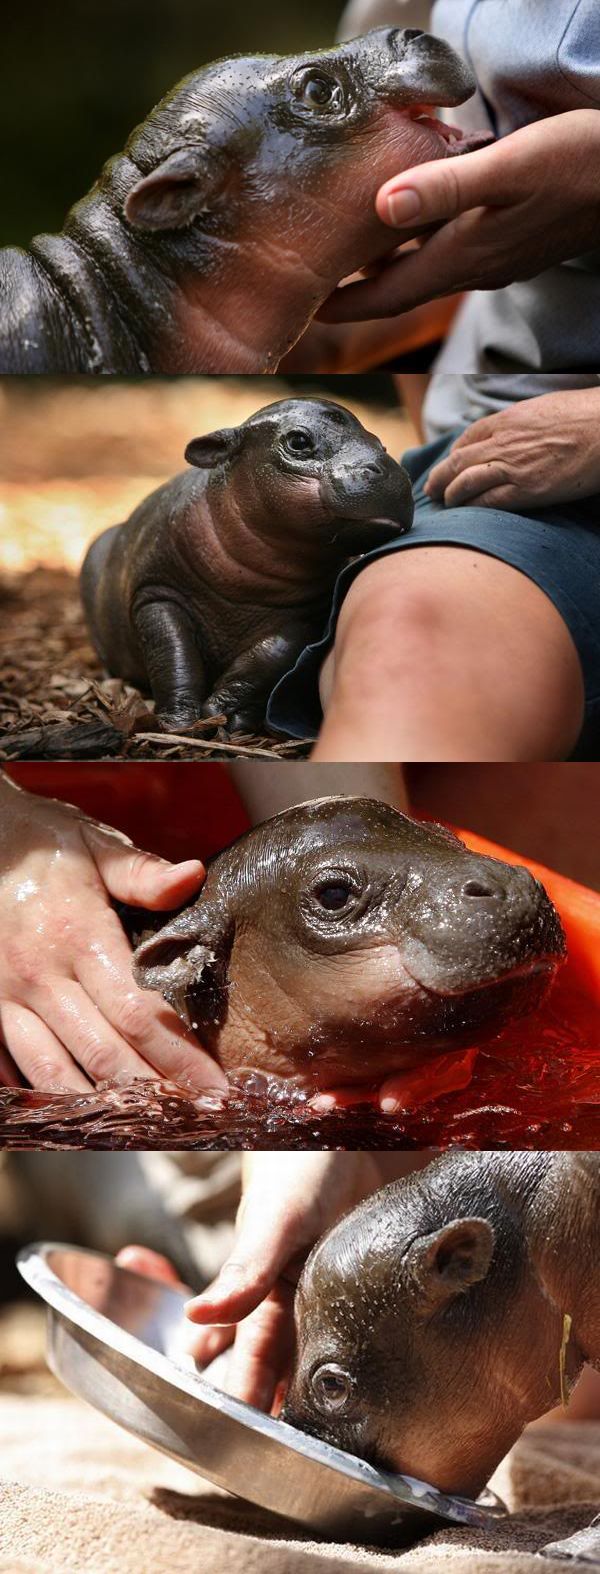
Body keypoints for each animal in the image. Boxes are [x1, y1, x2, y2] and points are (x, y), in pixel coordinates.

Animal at [80, 398, 414, 731]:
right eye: (298, 441)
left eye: (380, 443)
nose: (389, 470)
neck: (244, 588)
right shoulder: (156, 594)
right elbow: (173, 655)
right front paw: (178, 722)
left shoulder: (310, 614)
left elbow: (274, 653)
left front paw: (227, 714)